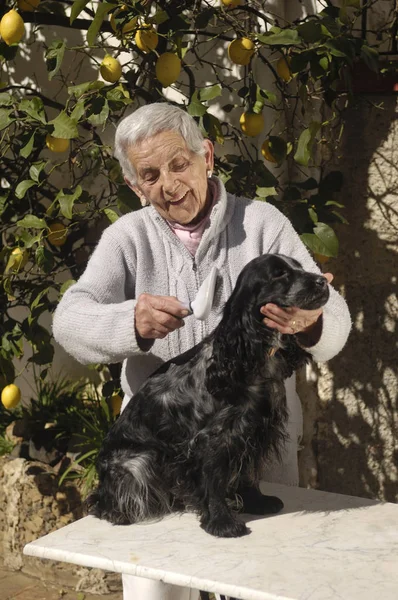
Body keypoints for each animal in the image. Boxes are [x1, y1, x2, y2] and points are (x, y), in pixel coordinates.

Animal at [89, 253, 330, 540]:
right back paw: (120, 512)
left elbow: (247, 472)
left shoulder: (252, 430)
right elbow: (213, 481)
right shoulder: (214, 438)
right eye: (279, 274)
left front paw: (257, 502)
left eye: (299, 267)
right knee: (104, 501)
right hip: (139, 462)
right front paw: (222, 522)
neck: (248, 355)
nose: (323, 281)